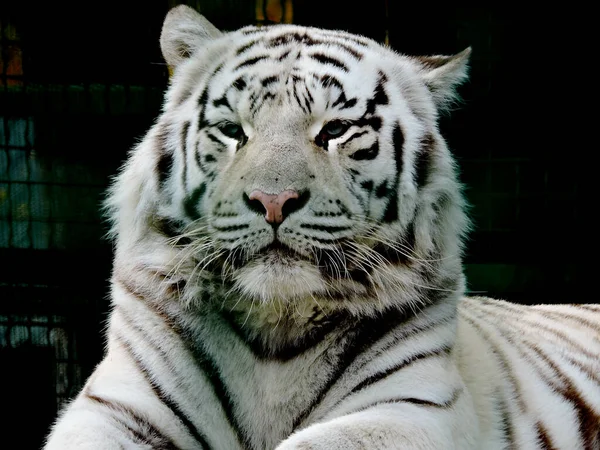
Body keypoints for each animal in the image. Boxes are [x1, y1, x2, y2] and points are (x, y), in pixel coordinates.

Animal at [44, 4, 596, 450]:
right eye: (232, 131)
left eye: (335, 130)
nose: (273, 201)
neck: (277, 324)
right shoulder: (119, 405)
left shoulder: (413, 409)